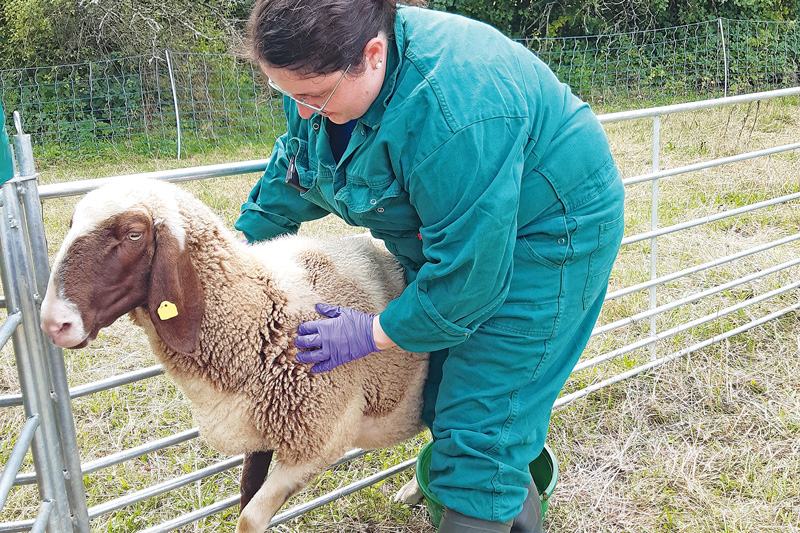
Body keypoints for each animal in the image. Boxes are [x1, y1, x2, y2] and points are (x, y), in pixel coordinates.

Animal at [40, 179, 428, 532]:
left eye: (134, 234)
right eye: (72, 223)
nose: (53, 322)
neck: (260, 312)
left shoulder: (319, 440)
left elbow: (250, 518)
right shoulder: (259, 430)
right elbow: (246, 492)